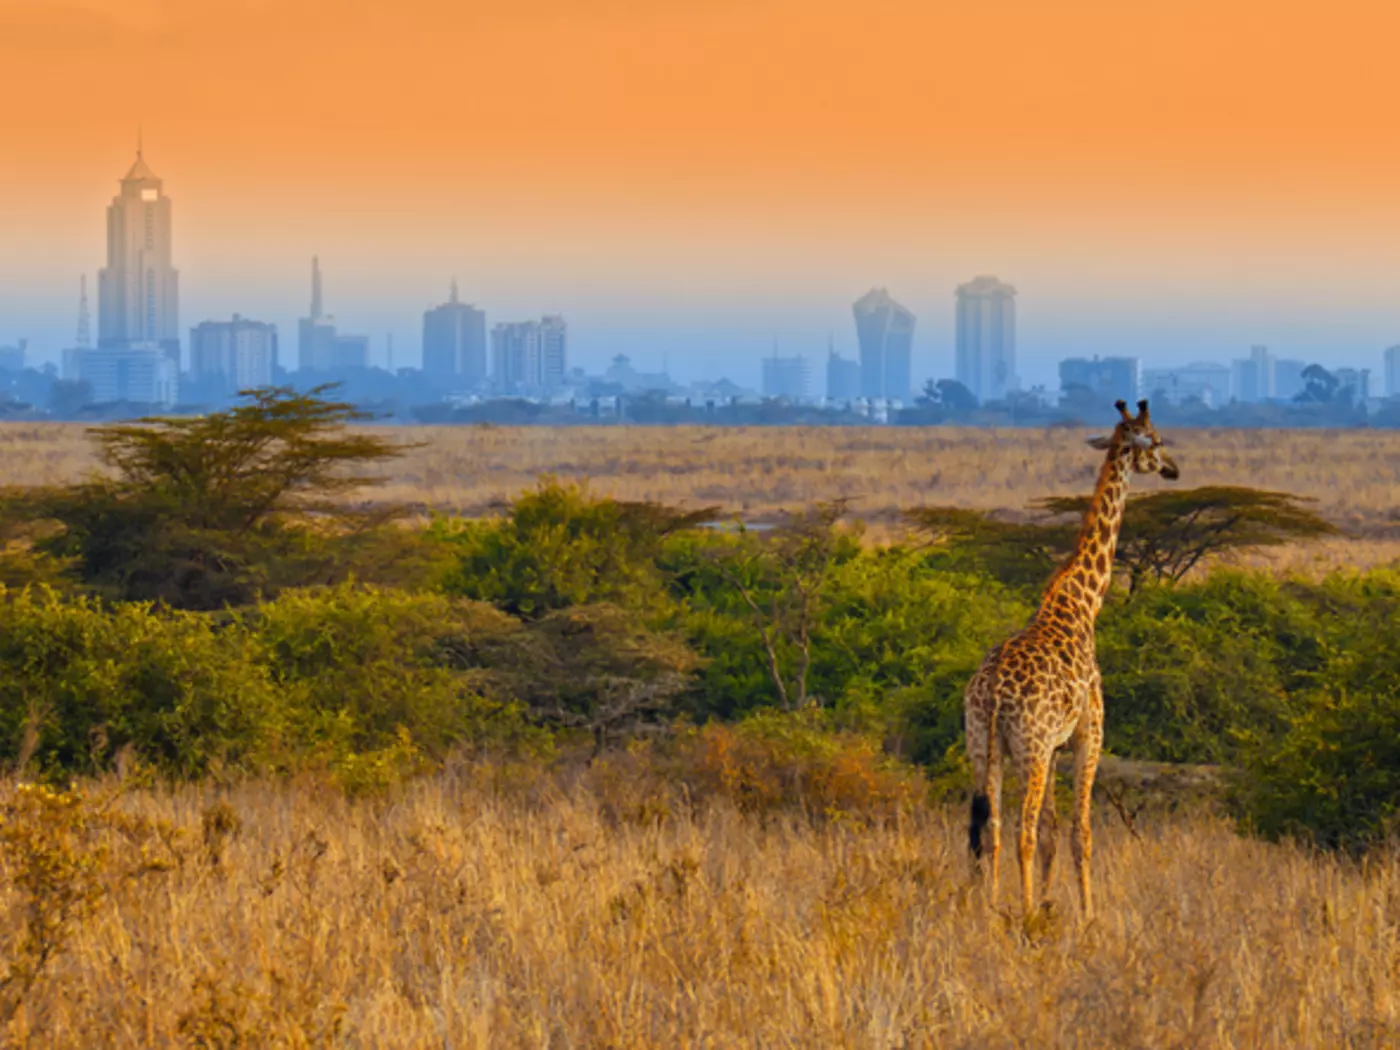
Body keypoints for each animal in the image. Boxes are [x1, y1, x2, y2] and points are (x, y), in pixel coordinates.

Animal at [963, 399, 1178, 922]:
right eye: (1156, 441)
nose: (1173, 469)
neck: (1082, 605)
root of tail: (992, 692)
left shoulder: (1058, 745)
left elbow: (1053, 836)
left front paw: (1050, 902)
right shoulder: (1088, 733)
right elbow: (1081, 833)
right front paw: (1086, 916)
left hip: (982, 747)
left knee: (989, 830)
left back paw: (990, 909)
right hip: (1031, 749)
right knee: (1019, 829)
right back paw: (1021, 915)